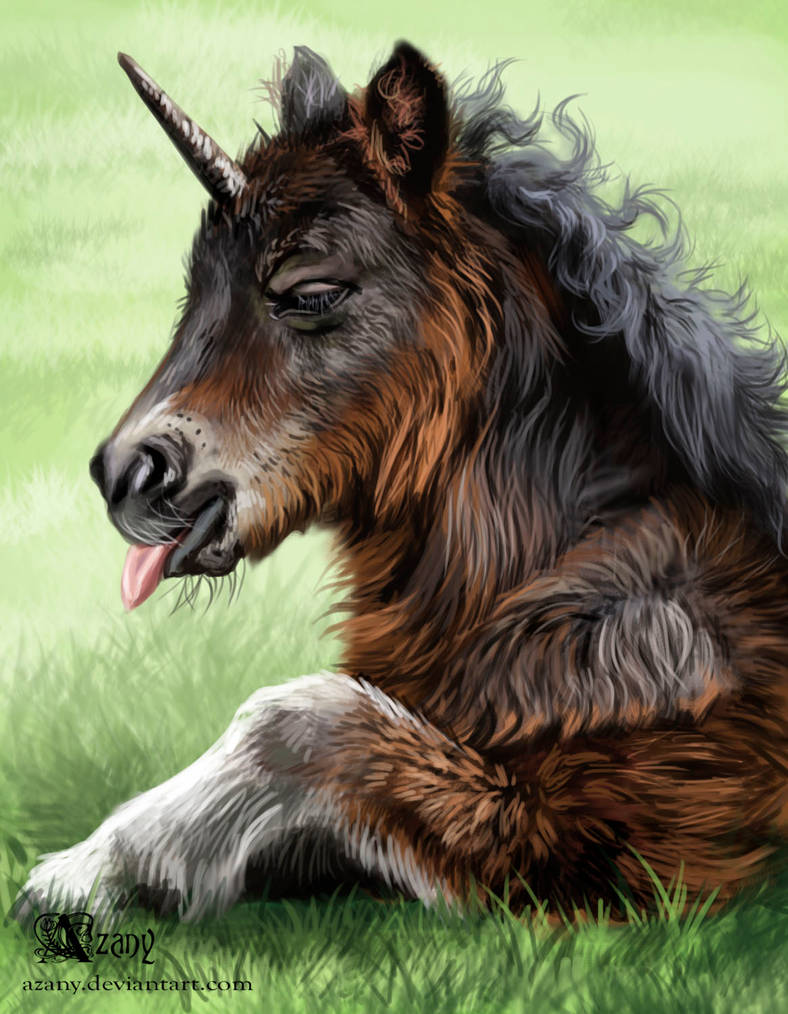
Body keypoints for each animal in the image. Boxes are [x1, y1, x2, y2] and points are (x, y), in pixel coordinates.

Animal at [20, 42, 788, 921]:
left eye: (311, 293)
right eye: (194, 292)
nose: (124, 476)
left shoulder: (630, 854)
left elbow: (295, 720)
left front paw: (88, 874)